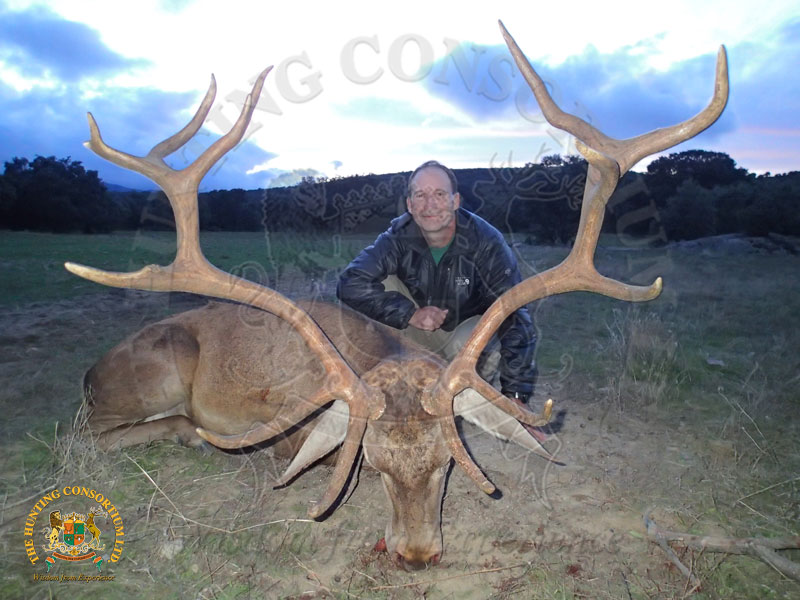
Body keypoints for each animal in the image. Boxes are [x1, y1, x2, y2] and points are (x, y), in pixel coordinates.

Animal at [67, 21, 728, 570]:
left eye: (448, 462)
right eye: (374, 463)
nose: (415, 557)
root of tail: (91, 374)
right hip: (159, 368)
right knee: (91, 434)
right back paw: (175, 430)